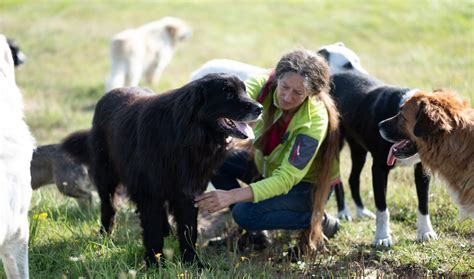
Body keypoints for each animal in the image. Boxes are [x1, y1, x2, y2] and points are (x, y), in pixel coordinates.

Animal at [62, 74, 262, 266]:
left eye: (244, 90)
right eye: (228, 94)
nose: (259, 108)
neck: (186, 135)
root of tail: (109, 94)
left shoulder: (188, 193)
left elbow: (189, 232)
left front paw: (193, 263)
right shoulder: (149, 193)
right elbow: (153, 231)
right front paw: (154, 263)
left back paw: (168, 232)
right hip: (107, 176)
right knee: (108, 206)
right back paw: (105, 235)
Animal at [330, 70, 436, 247]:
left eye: (403, 118)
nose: (379, 126)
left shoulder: (422, 169)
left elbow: (424, 202)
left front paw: (425, 232)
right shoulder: (379, 168)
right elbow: (382, 208)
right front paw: (382, 237)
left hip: (358, 150)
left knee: (353, 178)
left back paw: (361, 211)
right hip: (335, 146)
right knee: (336, 179)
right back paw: (343, 212)